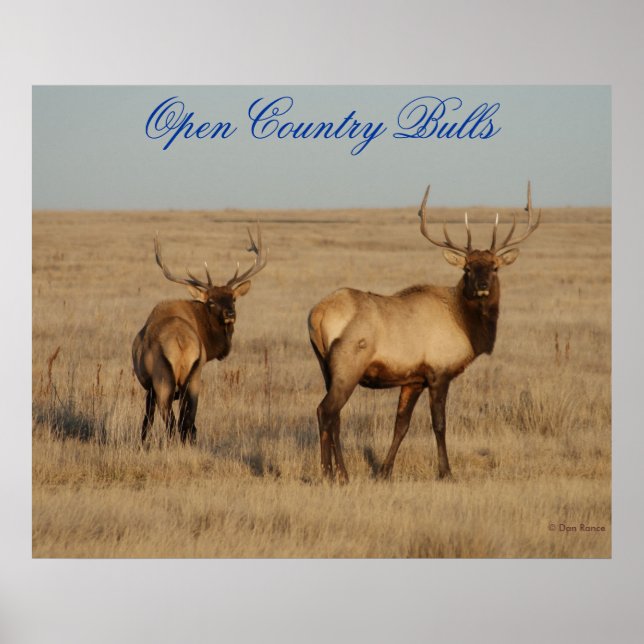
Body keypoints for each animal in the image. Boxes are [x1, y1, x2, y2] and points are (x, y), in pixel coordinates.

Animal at [132, 224, 268, 445]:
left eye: (233, 298)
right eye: (211, 301)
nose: (230, 314)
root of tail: (180, 342)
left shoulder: (150, 387)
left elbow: (147, 422)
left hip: (164, 380)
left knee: (172, 421)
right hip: (193, 377)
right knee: (187, 421)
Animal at [308, 183, 540, 483]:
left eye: (494, 266)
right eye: (467, 268)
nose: (482, 285)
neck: (465, 325)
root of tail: (317, 315)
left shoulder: (413, 379)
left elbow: (401, 425)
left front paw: (384, 471)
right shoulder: (439, 372)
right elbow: (439, 424)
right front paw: (446, 472)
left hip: (325, 366)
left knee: (335, 416)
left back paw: (341, 473)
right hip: (348, 366)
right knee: (325, 411)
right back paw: (330, 474)